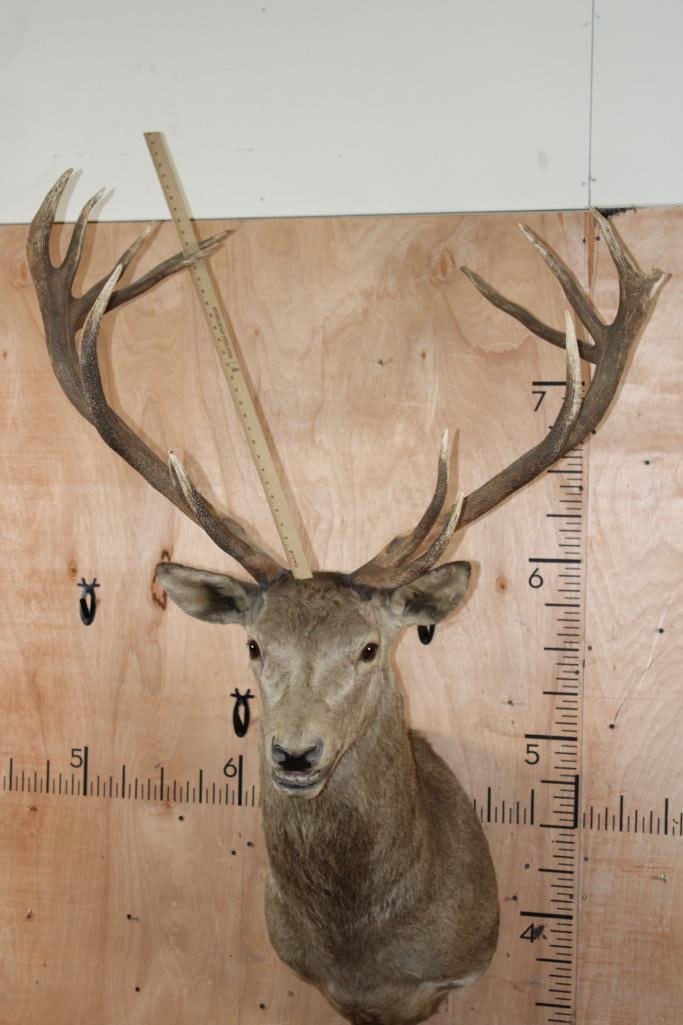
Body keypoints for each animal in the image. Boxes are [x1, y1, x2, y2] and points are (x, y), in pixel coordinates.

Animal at [27, 172, 669, 1025]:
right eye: (253, 644)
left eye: (368, 646)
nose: (295, 753)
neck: (362, 945)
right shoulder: (329, 987)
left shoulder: (435, 985)